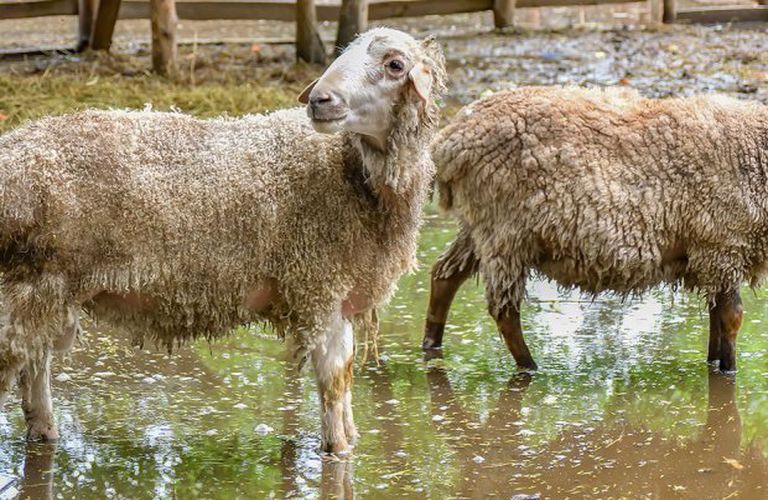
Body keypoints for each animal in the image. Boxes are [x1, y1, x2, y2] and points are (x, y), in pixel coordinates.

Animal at [0, 28, 448, 458]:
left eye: (395, 64)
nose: (320, 100)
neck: (350, 173)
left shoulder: (338, 297)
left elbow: (347, 388)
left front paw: (351, 441)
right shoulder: (321, 289)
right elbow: (335, 388)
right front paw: (338, 452)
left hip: (43, 297)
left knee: (34, 378)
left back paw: (46, 436)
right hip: (29, 285)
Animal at [426, 86, 768, 374]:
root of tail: (447, 143)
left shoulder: (711, 254)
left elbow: (715, 317)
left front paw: (714, 363)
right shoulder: (722, 245)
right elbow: (732, 317)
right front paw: (729, 372)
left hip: (477, 228)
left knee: (444, 275)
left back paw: (430, 347)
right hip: (503, 232)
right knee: (504, 310)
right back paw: (529, 367)